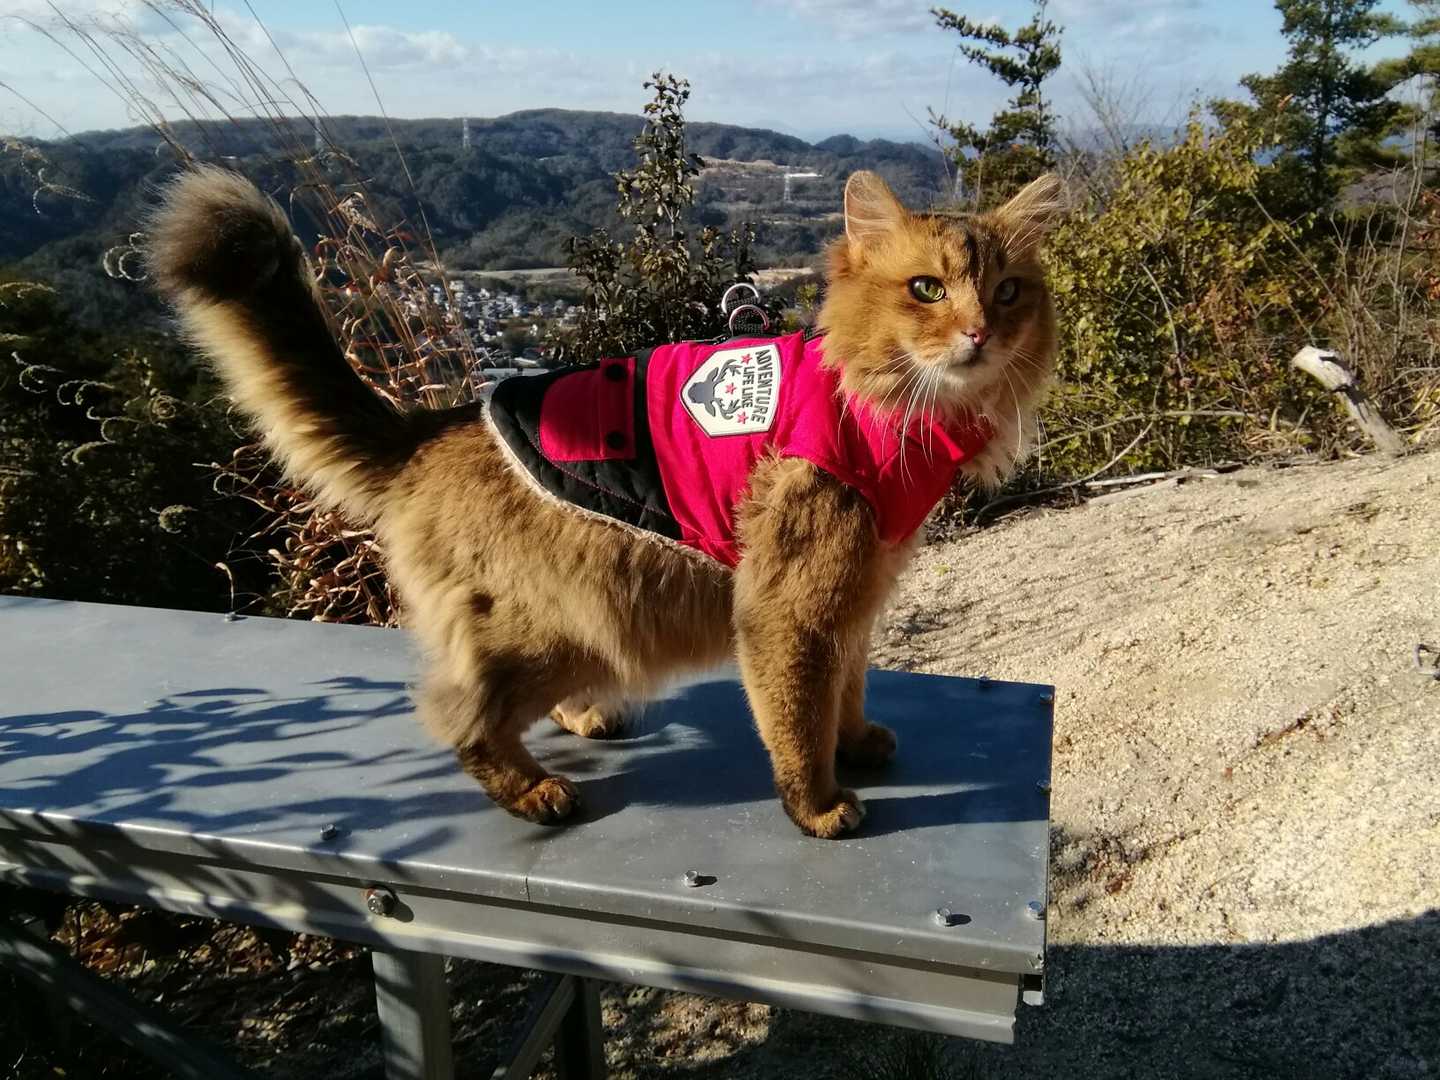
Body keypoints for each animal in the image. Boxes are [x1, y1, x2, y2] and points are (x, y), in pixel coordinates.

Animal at [146, 166, 1062, 838]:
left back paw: (586, 719)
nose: (980, 333)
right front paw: (818, 805)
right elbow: (797, 719)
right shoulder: (790, 608)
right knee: (459, 714)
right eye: (928, 289)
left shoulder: (856, 599)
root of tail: (431, 428)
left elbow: (849, 691)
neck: (874, 407)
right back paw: (534, 790)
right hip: (555, 622)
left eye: (1008, 293)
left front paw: (859, 744)